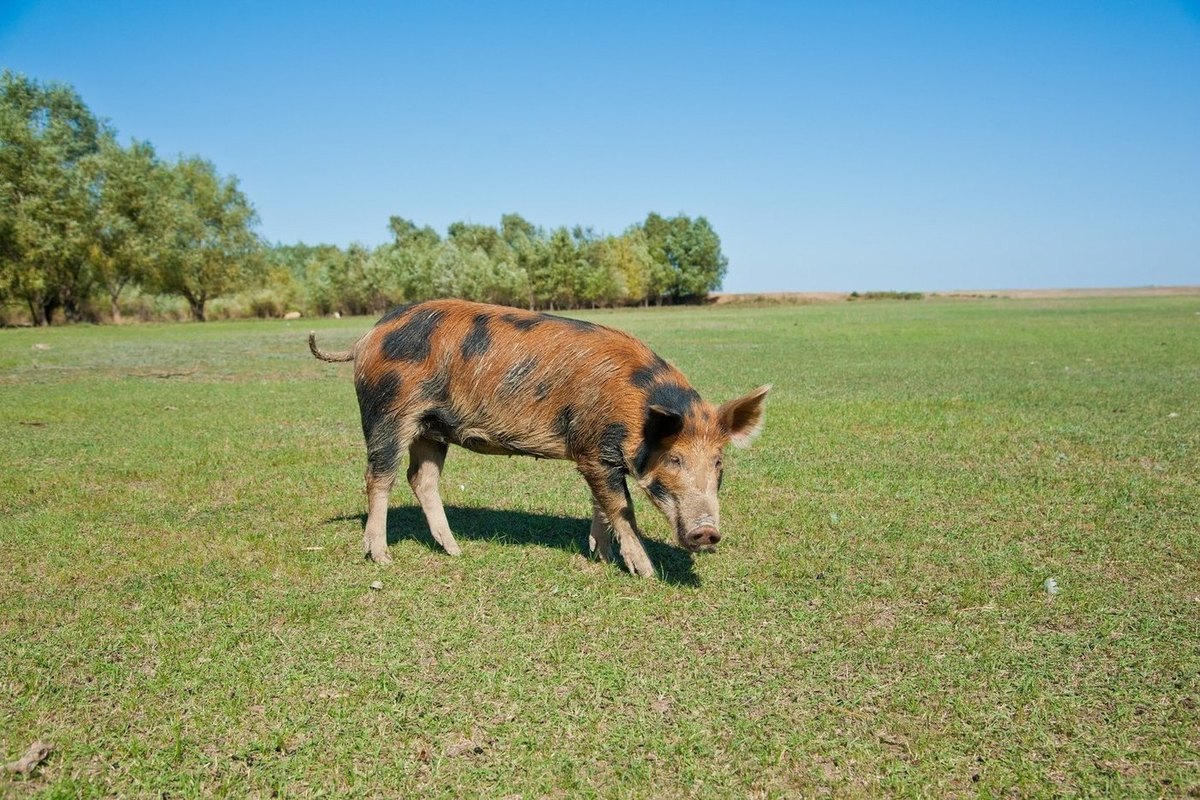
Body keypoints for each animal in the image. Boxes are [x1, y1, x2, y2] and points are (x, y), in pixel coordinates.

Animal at [309, 297, 772, 578]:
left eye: (718, 463)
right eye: (674, 459)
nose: (708, 533)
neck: (634, 408)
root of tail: (367, 337)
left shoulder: (594, 454)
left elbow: (602, 504)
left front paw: (600, 556)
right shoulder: (595, 451)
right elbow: (623, 508)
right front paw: (646, 572)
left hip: (431, 427)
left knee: (421, 479)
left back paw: (456, 550)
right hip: (387, 413)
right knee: (378, 477)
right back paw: (382, 558)